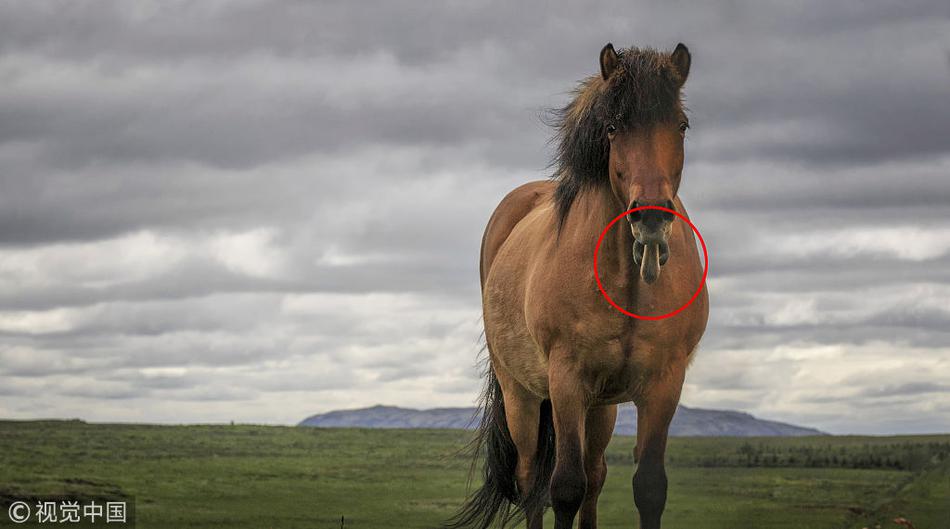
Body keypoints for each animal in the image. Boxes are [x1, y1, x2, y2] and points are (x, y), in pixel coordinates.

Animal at [446, 44, 708, 528]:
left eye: (680, 125)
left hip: (601, 405)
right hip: (523, 395)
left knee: (596, 471)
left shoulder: (664, 382)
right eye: (612, 127)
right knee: (532, 477)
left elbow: (648, 487)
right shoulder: (567, 379)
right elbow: (565, 487)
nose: (651, 218)